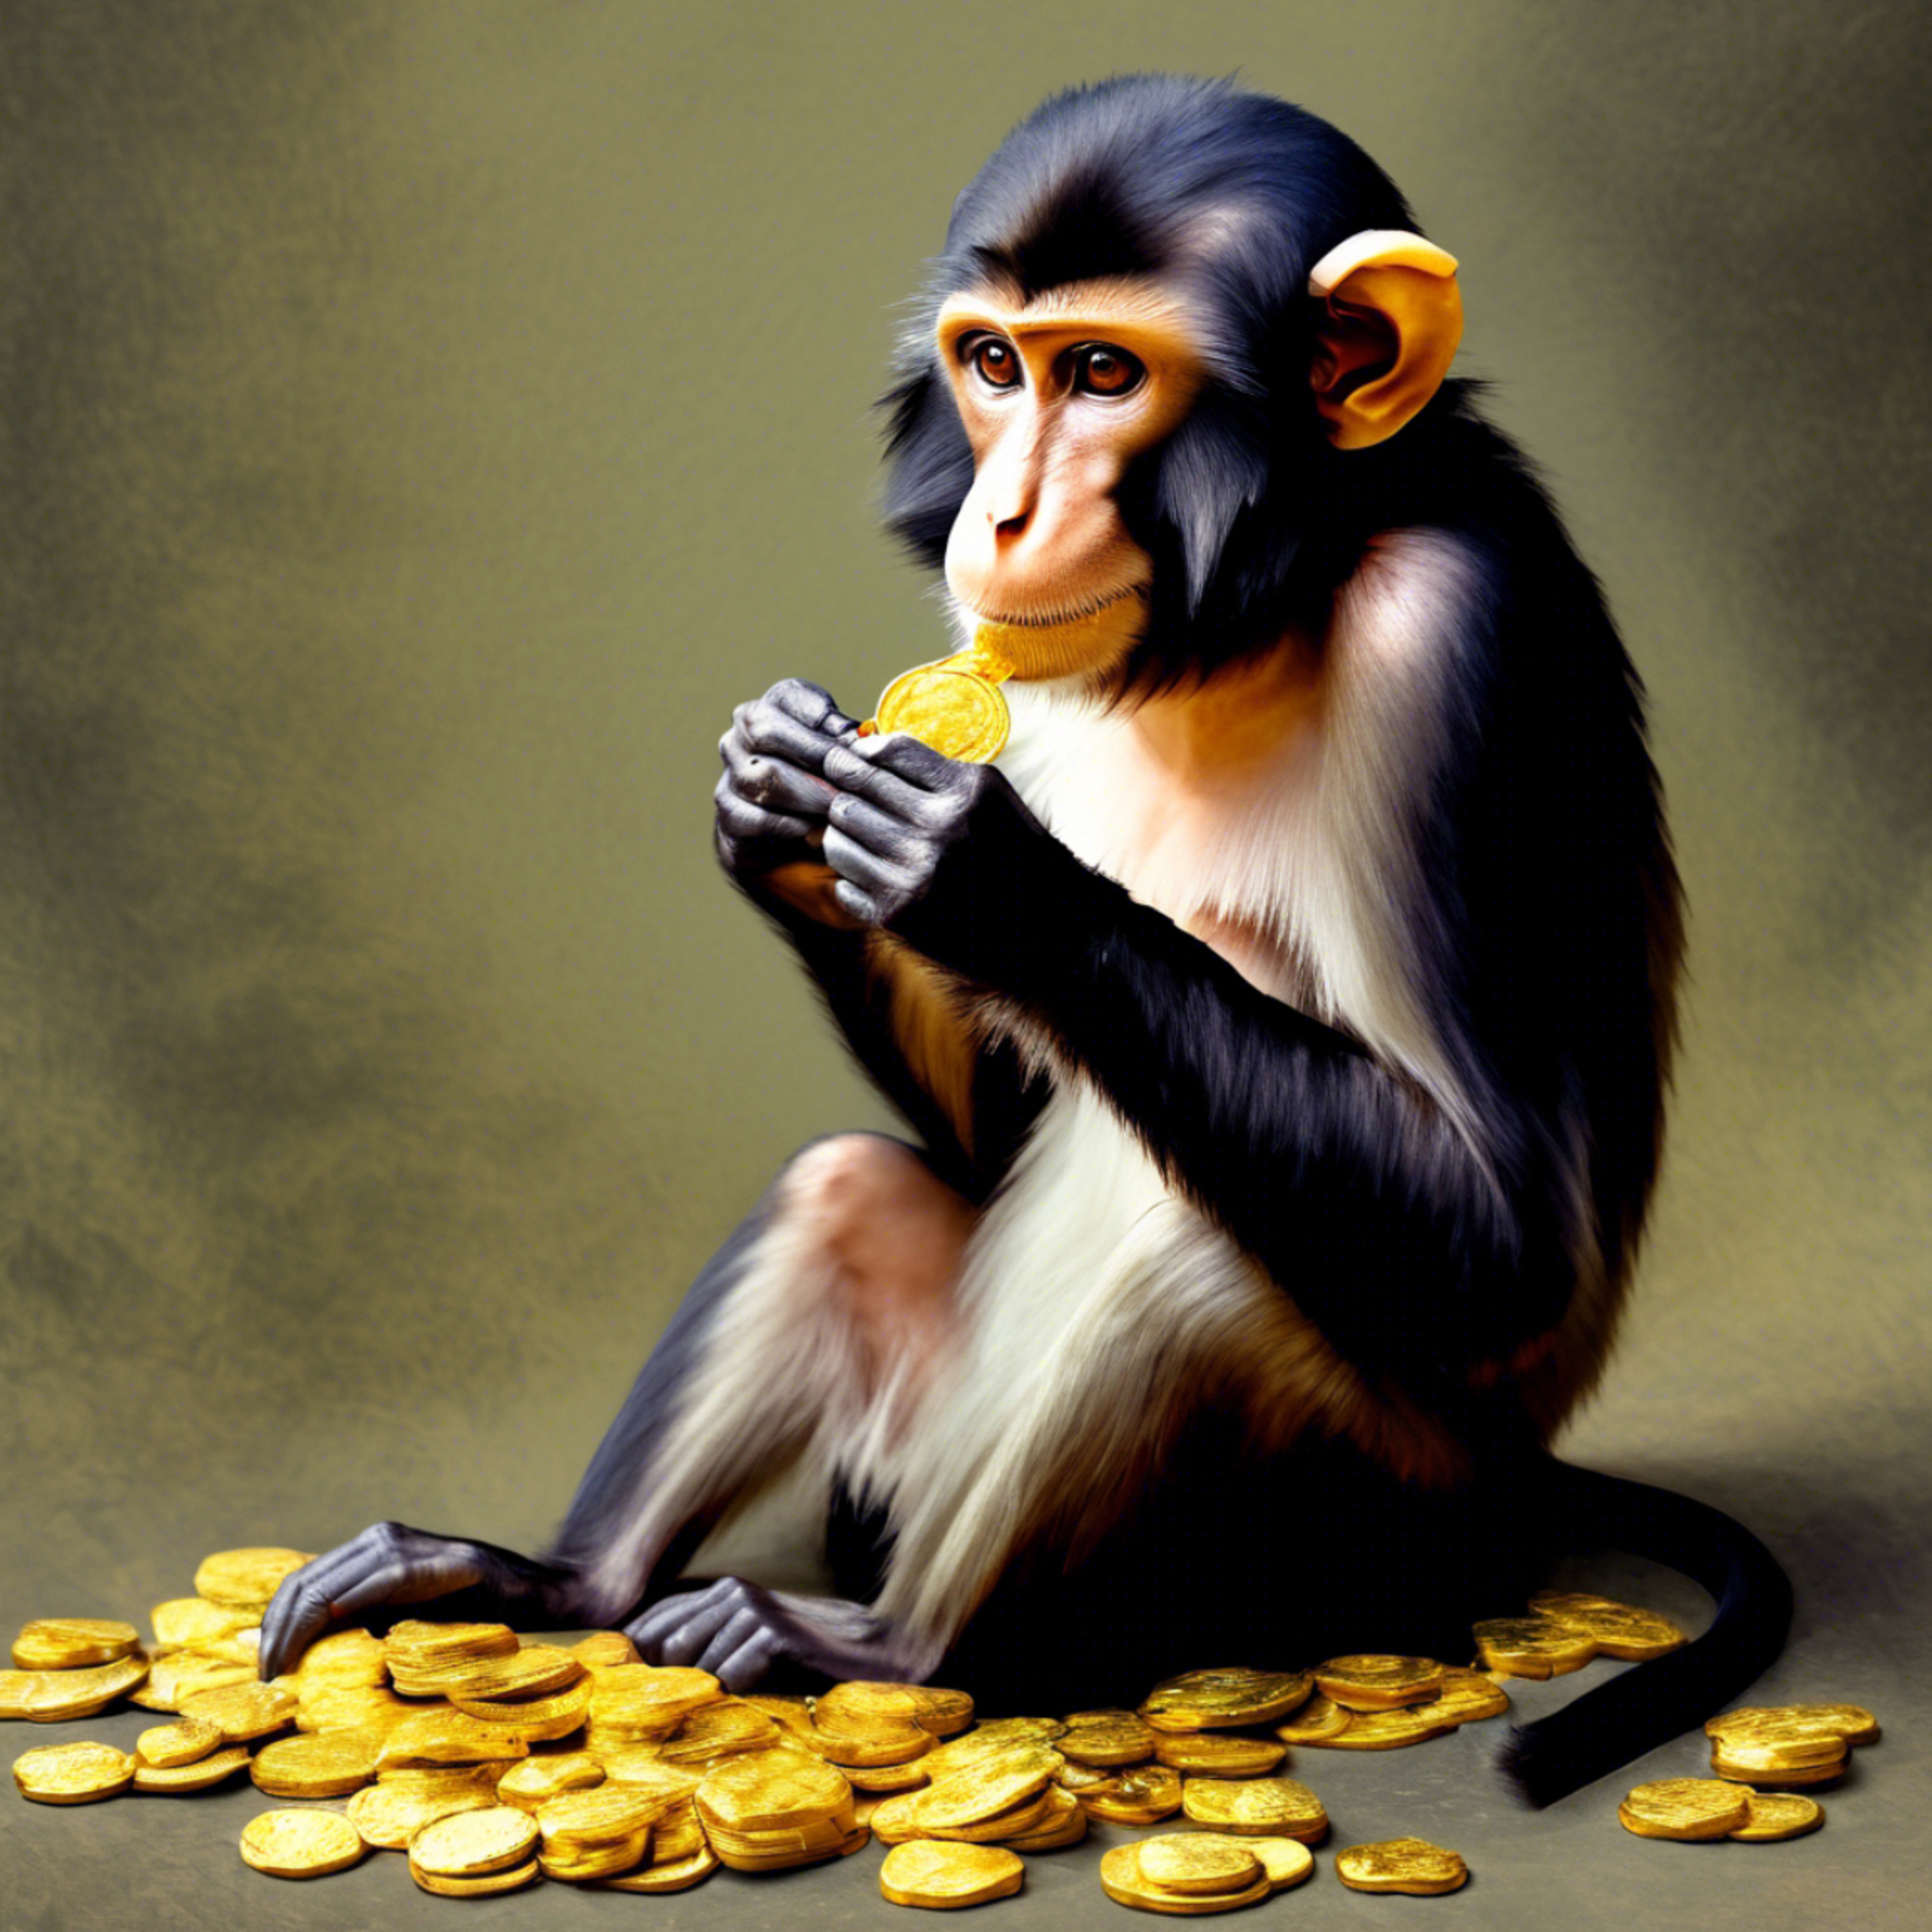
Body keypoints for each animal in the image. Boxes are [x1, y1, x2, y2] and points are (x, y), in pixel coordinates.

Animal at [259, 75, 1789, 1806]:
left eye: (1105, 373)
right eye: (995, 365)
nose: (1002, 513)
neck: (1259, 602)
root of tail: (1524, 1495)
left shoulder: (1454, 646)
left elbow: (1506, 1233)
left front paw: (979, 876)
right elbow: (992, 1130)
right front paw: (777, 806)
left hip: (1371, 1520)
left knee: (1184, 1259)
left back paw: (897, 1650)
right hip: (908, 1448)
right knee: (850, 1189)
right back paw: (571, 1585)